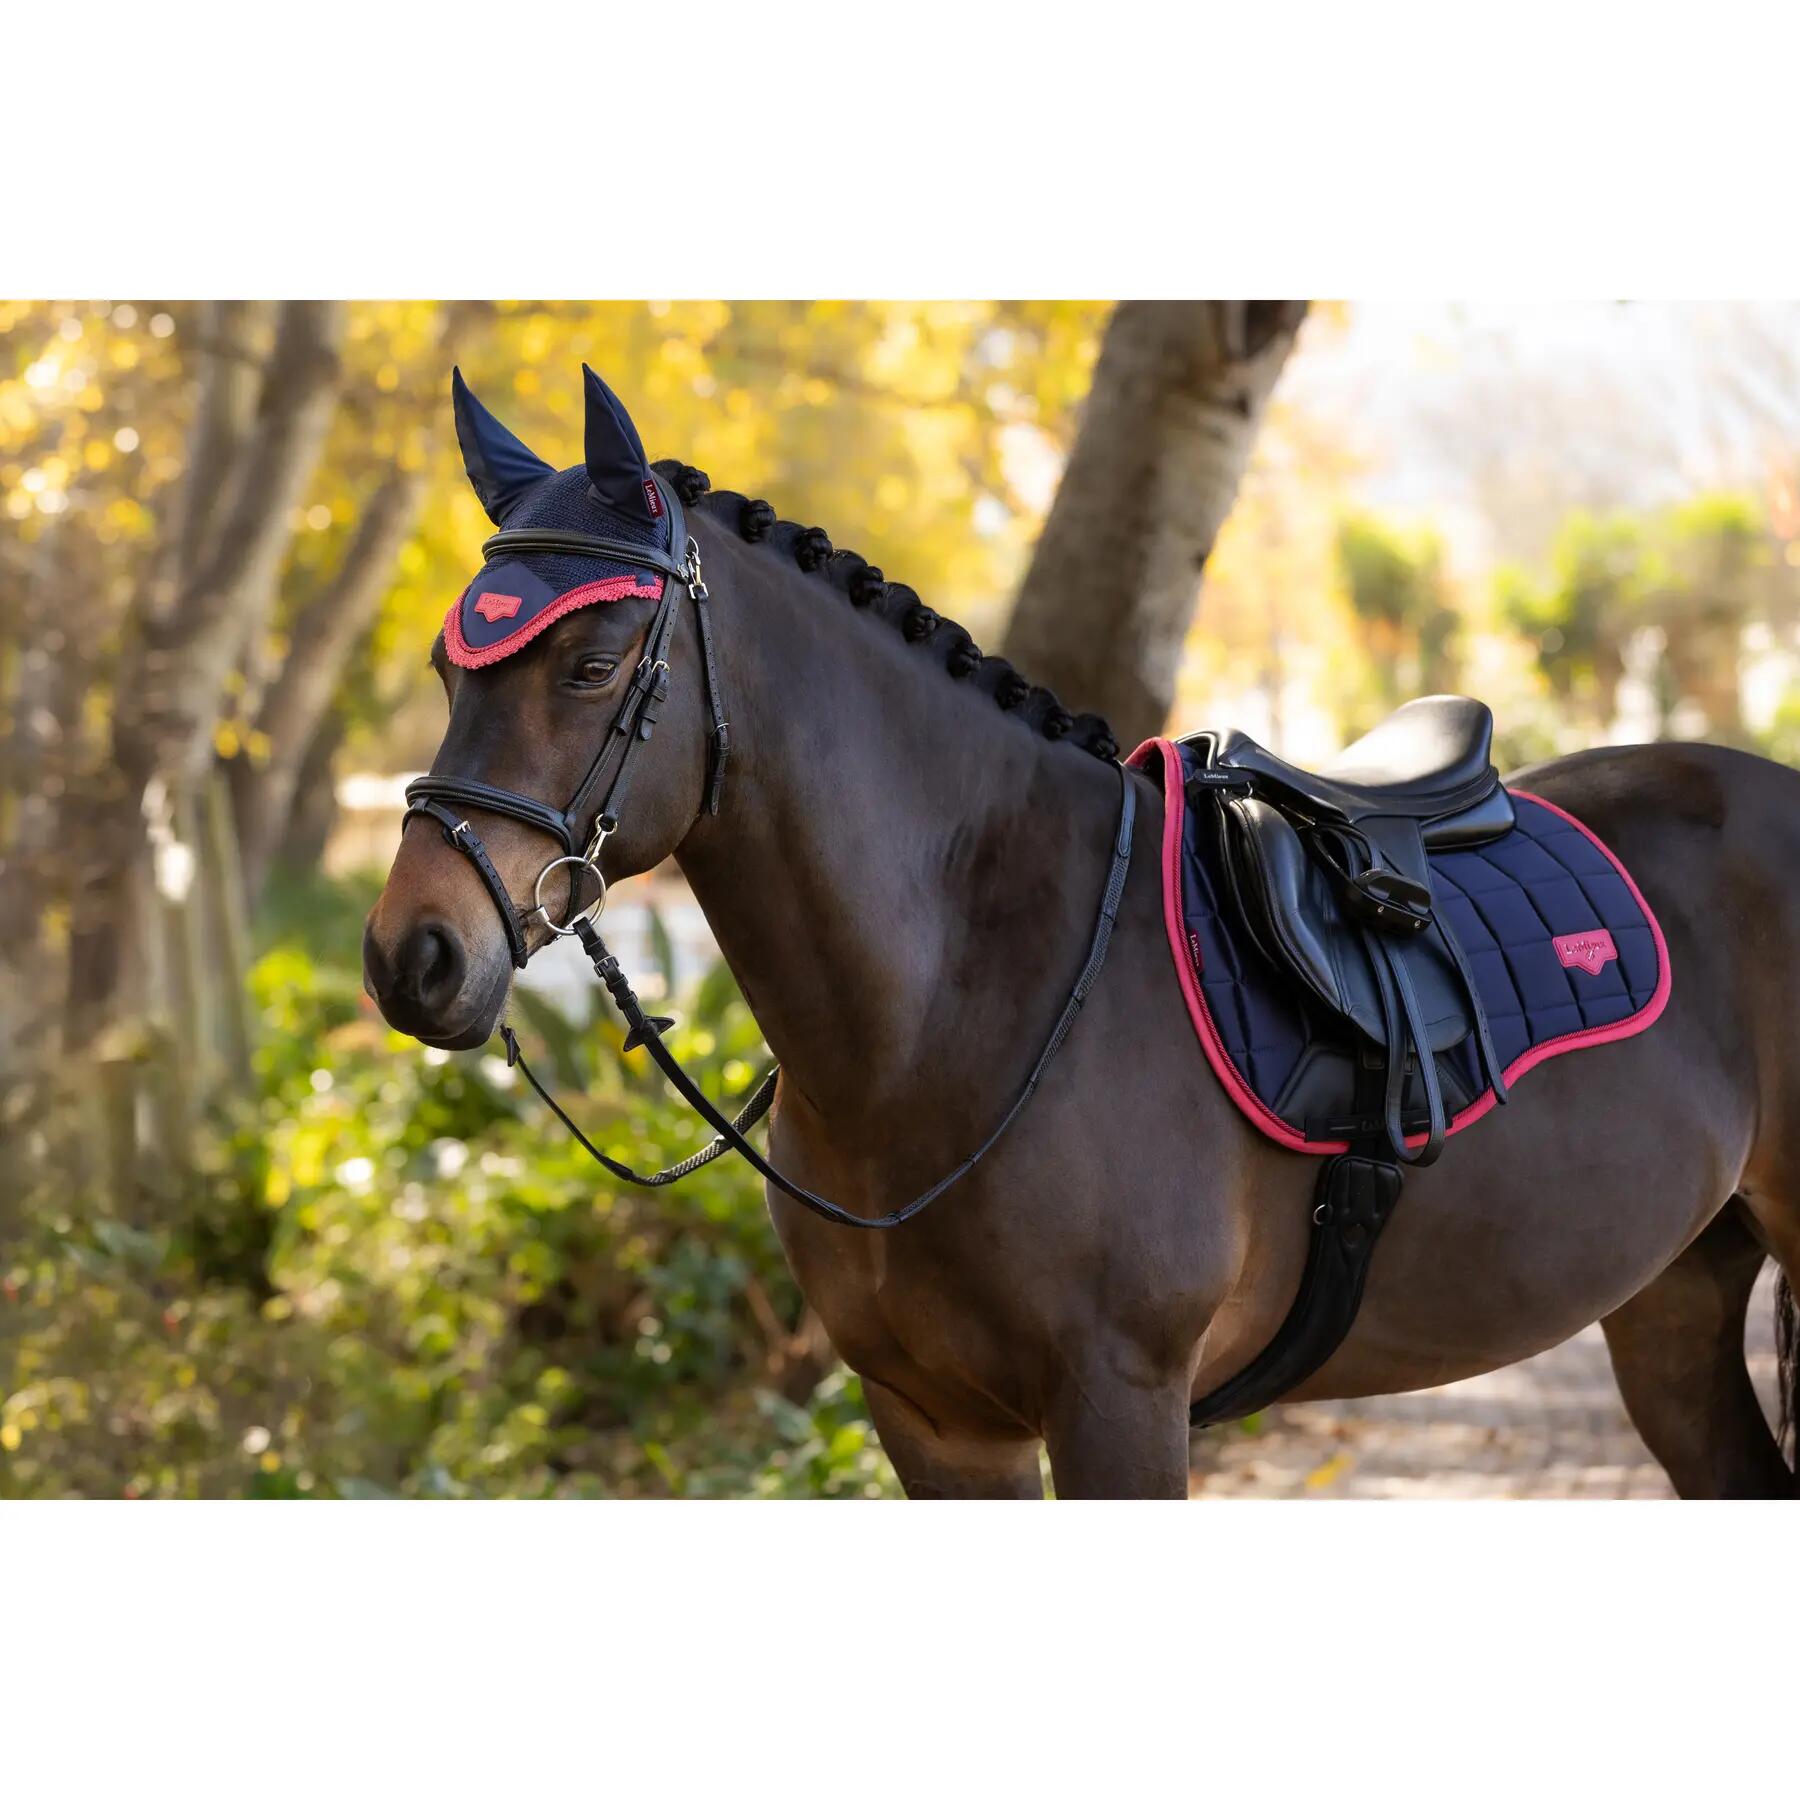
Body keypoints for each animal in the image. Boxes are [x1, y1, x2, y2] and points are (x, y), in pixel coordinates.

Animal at [364, 368, 1800, 1498]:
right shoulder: (938, 1427)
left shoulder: (1121, 1408)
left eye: (592, 666)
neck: (964, 998)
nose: (412, 956)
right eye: (442, 670)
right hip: (1671, 1298)